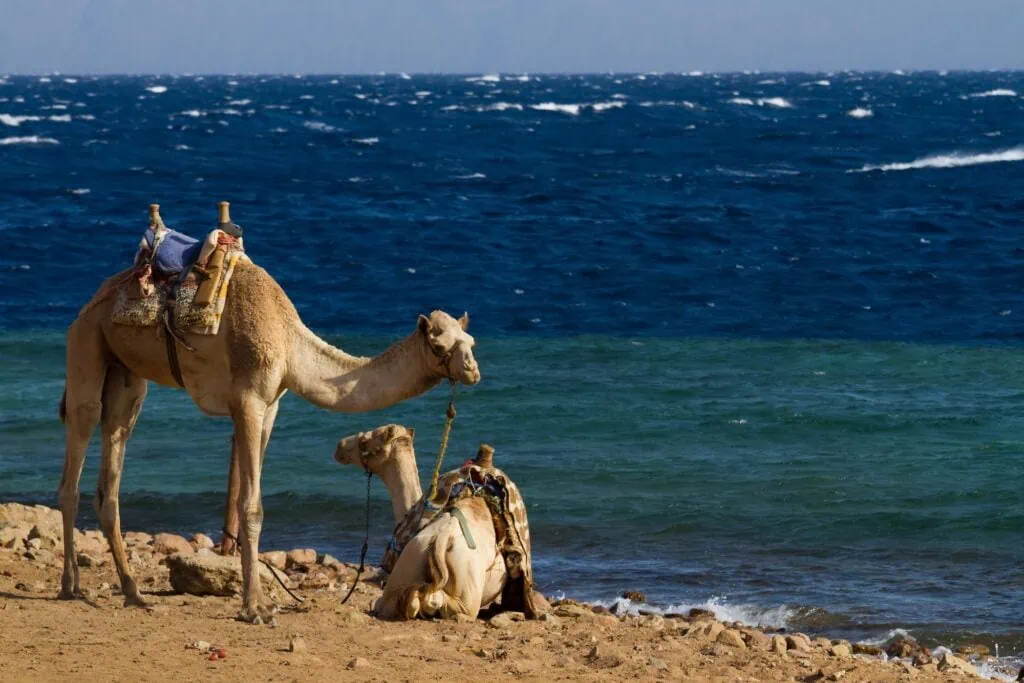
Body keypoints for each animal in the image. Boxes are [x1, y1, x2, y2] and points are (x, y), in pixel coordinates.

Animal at [57, 204, 481, 624]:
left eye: (470, 341)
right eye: (440, 344)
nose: (473, 370)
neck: (290, 343)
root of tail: (94, 299)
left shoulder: (271, 406)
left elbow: (252, 500)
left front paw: (259, 601)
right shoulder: (248, 401)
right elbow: (250, 505)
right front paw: (255, 608)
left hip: (127, 375)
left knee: (112, 463)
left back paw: (133, 592)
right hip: (86, 342)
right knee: (77, 448)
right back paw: (70, 587)